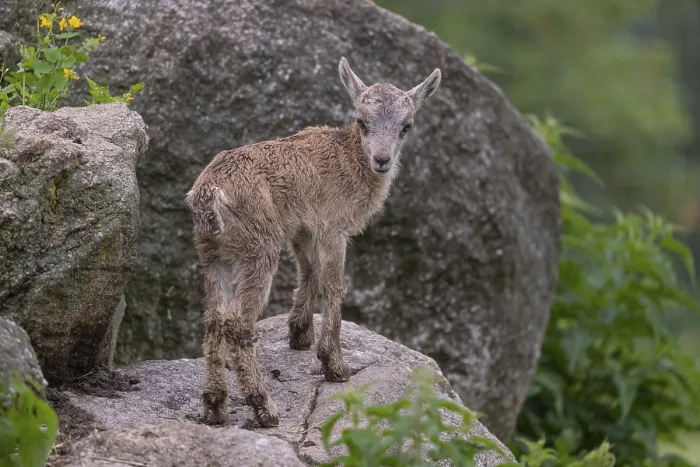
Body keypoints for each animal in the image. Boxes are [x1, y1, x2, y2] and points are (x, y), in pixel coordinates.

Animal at [186, 57, 441, 427]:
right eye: (362, 121)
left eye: (406, 126)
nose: (382, 160)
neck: (349, 159)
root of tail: (208, 196)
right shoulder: (333, 228)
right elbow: (334, 284)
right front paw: (334, 363)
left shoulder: (303, 228)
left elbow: (309, 272)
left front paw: (299, 334)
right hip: (259, 249)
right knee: (237, 323)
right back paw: (264, 406)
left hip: (212, 254)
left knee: (213, 318)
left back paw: (215, 405)